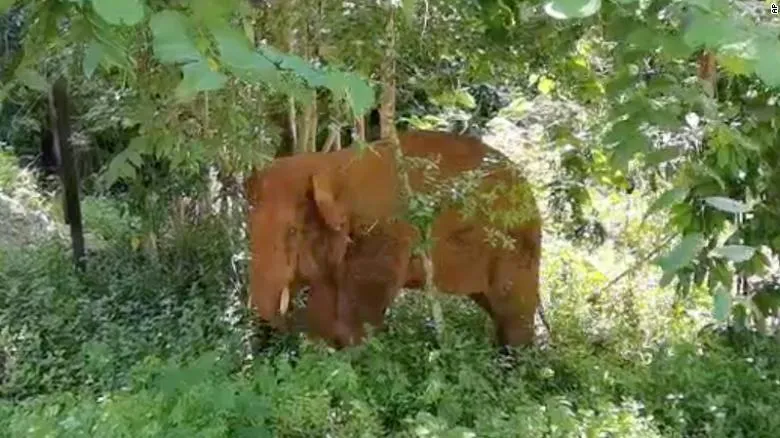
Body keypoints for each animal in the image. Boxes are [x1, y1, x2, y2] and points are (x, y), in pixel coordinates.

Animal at [245, 130, 542, 348]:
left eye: (292, 232)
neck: (329, 165)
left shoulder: (384, 233)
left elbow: (365, 303)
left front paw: (349, 352)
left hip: (517, 246)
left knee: (512, 310)